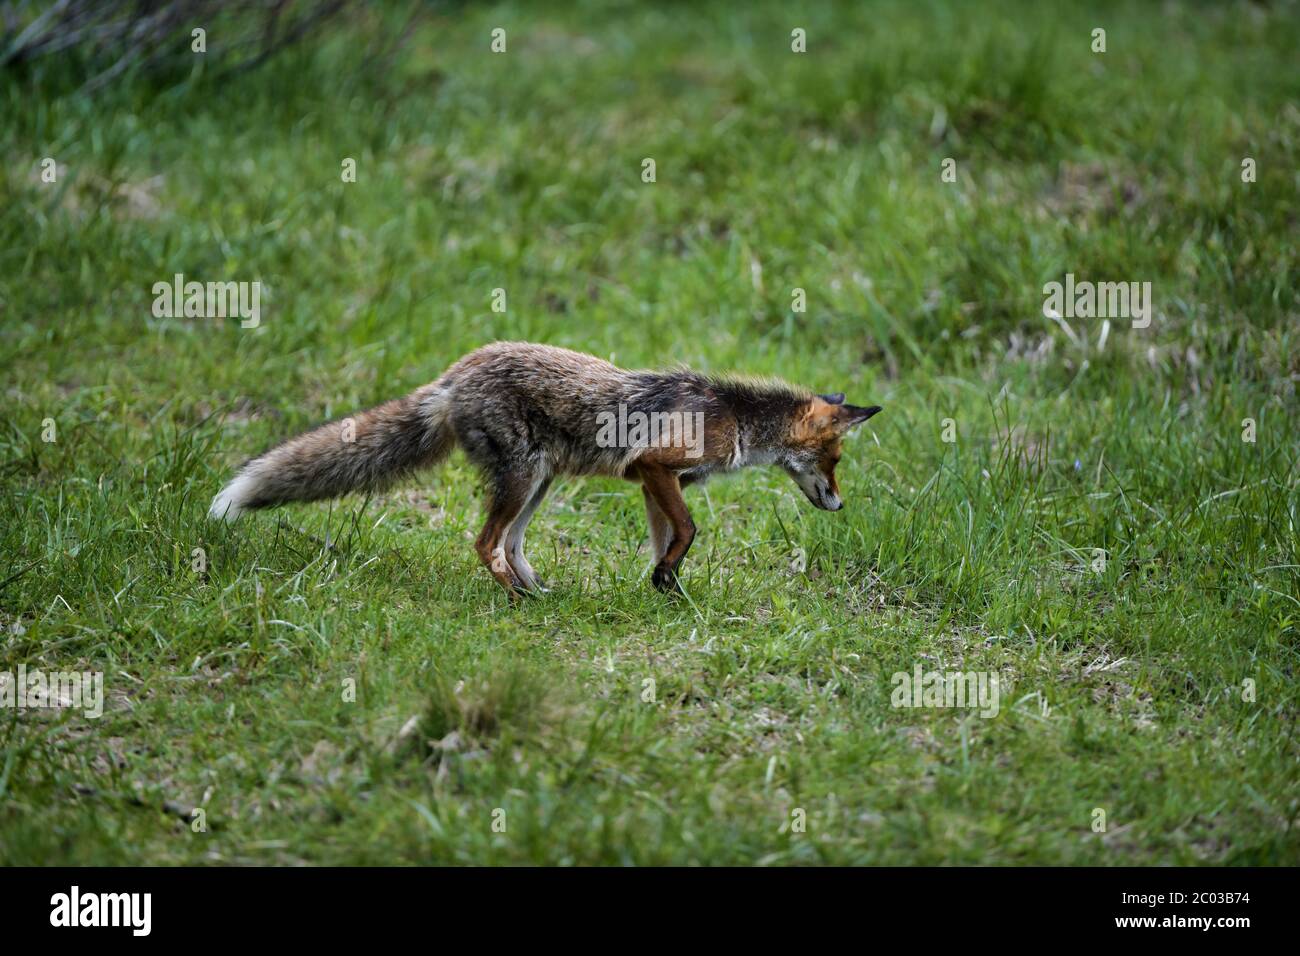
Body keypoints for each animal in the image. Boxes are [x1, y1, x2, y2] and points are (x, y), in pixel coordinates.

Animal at [209, 342, 881, 596]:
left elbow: (667, 538)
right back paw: (514, 598)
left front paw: (666, 588)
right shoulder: (657, 467)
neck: (736, 417)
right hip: (524, 477)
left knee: (510, 543)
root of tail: (454, 374)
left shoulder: (657, 485)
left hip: (540, 481)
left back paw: (535, 590)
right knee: (485, 543)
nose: (840, 503)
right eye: (835, 460)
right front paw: (668, 582)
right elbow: (689, 530)